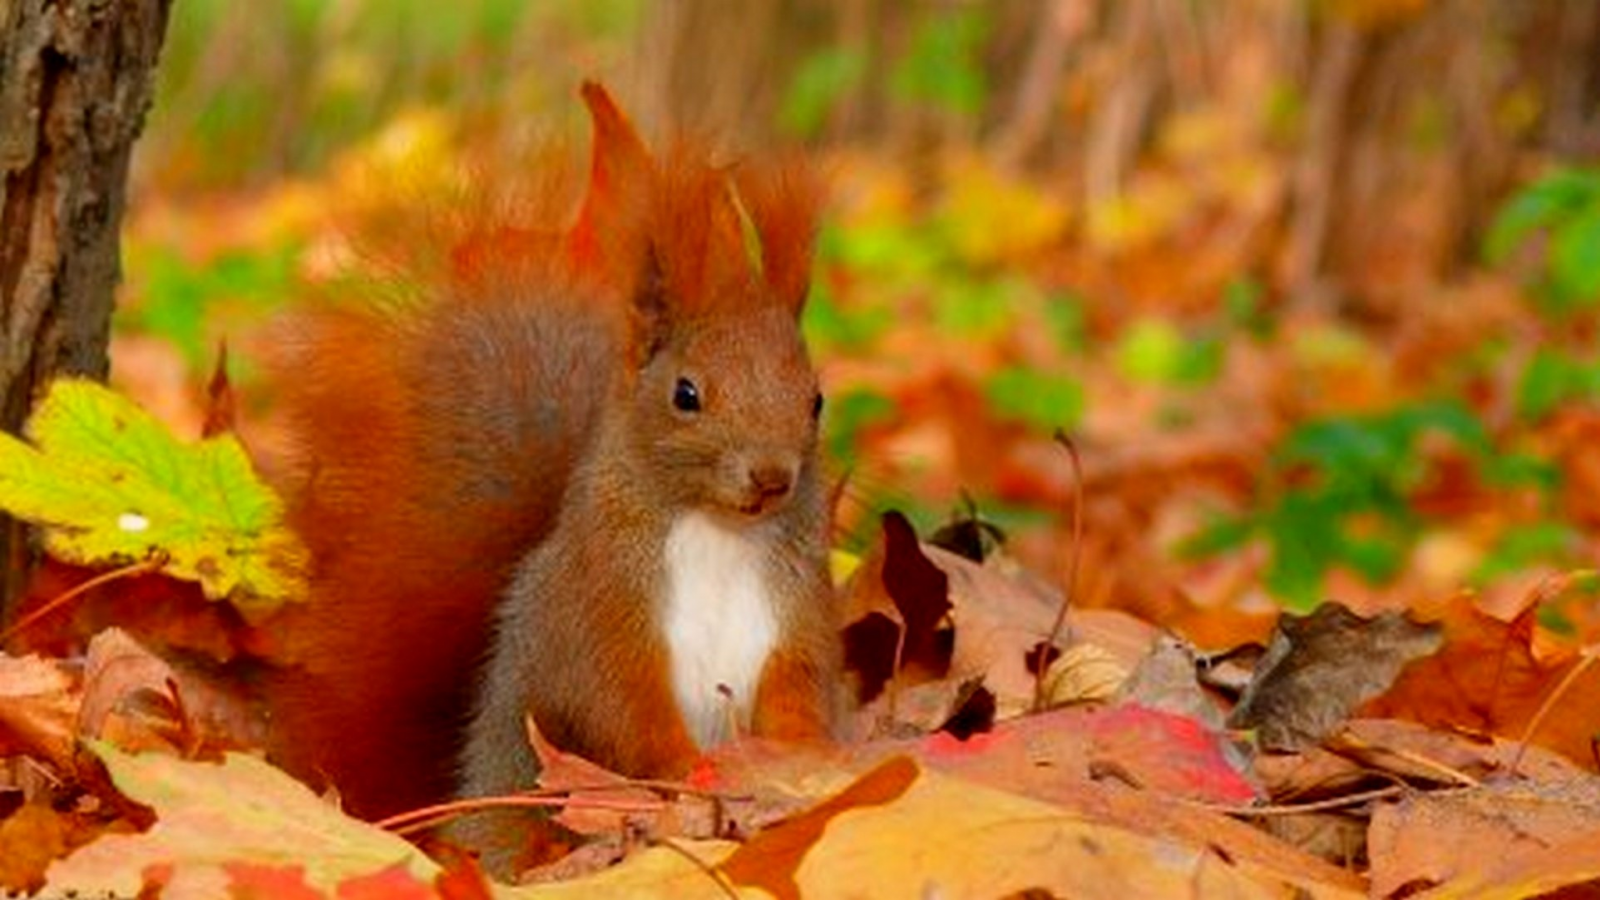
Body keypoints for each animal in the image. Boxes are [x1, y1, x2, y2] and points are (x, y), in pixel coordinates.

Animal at [262, 85, 838, 871]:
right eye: (686, 394)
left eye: (816, 399)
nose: (772, 477)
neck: (718, 530)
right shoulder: (603, 612)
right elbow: (623, 708)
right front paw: (691, 771)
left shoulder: (796, 611)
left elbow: (800, 691)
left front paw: (804, 761)